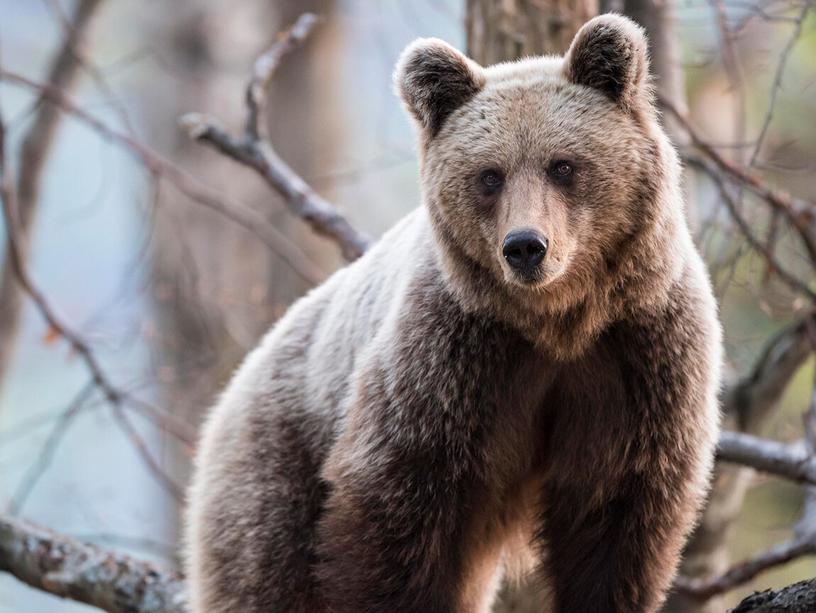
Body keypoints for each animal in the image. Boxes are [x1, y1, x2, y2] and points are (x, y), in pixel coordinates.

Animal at [183, 14, 720, 612]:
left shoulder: (639, 355)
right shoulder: (449, 361)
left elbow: (617, 519)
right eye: (490, 175)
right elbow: (396, 510)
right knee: (265, 572)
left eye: (563, 165)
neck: (557, 323)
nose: (525, 246)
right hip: (275, 465)